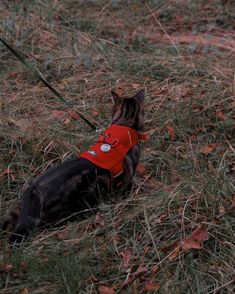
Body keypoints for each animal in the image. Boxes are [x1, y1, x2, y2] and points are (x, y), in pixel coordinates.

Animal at [1, 89, 145, 243]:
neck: (124, 125)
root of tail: (34, 188)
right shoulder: (127, 177)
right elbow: (127, 189)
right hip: (76, 205)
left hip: (18, 212)